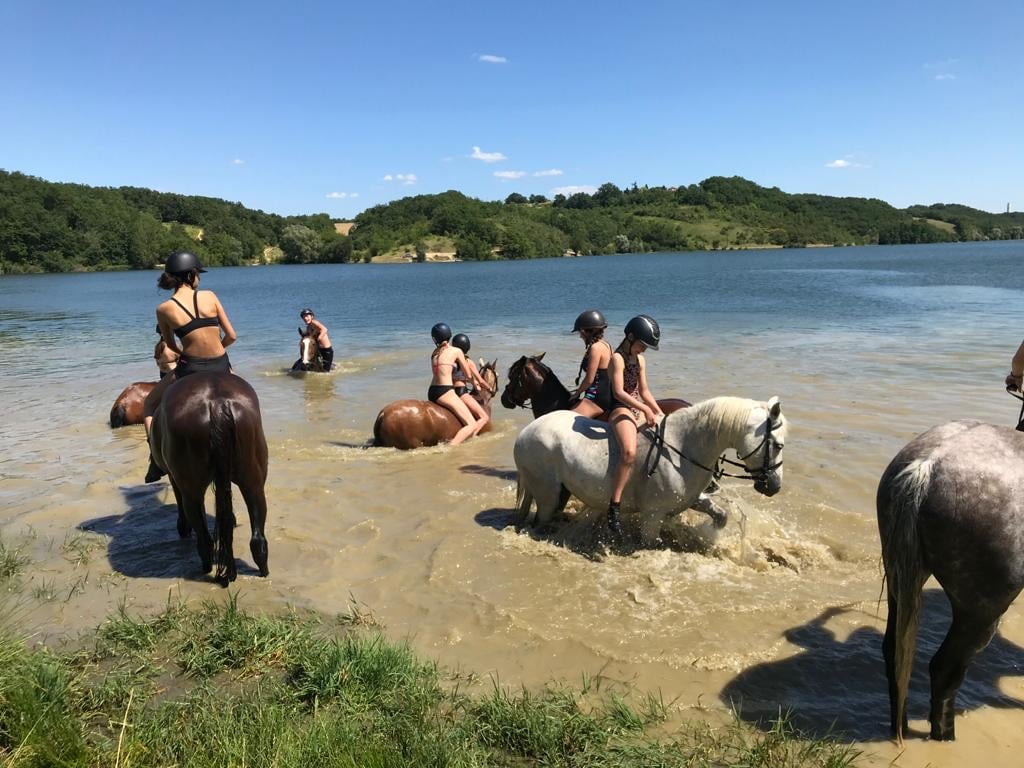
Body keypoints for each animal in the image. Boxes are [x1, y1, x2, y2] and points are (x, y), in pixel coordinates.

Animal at [150, 372, 270, 585]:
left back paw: (205, 567)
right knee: (258, 538)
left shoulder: (174, 478)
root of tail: (218, 404)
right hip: (253, 480)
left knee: (203, 537)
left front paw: (183, 528)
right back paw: (262, 570)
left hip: (192, 490)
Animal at [513, 396, 785, 545]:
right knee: (540, 520)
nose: (774, 486)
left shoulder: (692, 498)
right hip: (548, 495)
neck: (682, 446)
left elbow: (721, 516)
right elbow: (652, 542)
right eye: (778, 444)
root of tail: (524, 434)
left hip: (560, 492)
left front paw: (709, 536)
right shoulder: (653, 516)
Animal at [877, 419, 1024, 742]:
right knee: (945, 671)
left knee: (895, 653)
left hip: (898, 581)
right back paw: (944, 737)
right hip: (981, 611)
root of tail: (928, 465)